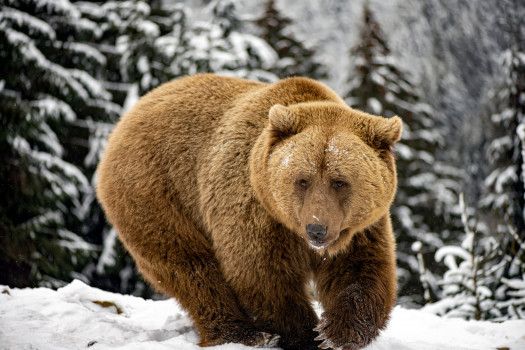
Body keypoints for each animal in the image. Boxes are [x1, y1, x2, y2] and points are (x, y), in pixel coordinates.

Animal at [96, 74, 400, 350]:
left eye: (340, 182)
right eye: (302, 180)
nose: (317, 229)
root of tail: (128, 116)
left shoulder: (359, 226)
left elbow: (360, 270)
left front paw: (335, 333)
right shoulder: (254, 209)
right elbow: (260, 274)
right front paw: (304, 334)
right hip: (156, 194)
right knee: (190, 267)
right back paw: (243, 333)